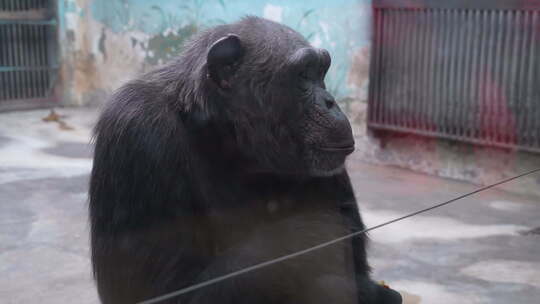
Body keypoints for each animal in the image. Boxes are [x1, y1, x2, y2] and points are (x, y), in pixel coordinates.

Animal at [88, 17, 400, 304]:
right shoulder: (135, 130)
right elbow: (161, 291)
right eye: (303, 74)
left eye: (320, 71)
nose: (330, 101)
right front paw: (306, 236)